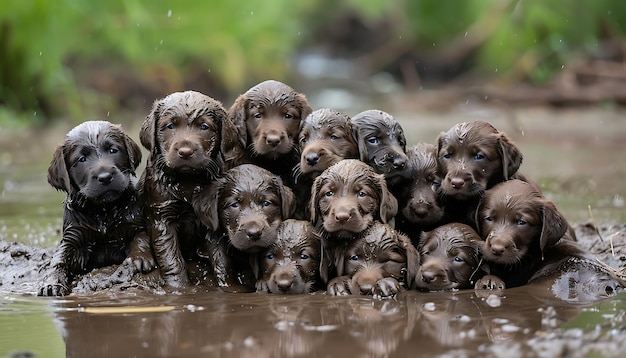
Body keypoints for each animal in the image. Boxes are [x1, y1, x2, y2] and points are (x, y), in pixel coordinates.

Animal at [40, 121, 154, 296]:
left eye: (113, 150)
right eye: (82, 159)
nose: (105, 177)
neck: (103, 211)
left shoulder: (133, 223)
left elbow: (141, 236)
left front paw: (139, 258)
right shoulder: (74, 236)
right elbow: (60, 258)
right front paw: (52, 282)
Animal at [140, 90, 240, 288]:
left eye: (204, 127)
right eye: (170, 126)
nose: (185, 152)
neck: (187, 182)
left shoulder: (211, 218)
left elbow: (221, 258)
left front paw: (229, 286)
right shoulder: (162, 217)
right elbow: (171, 259)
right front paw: (179, 288)